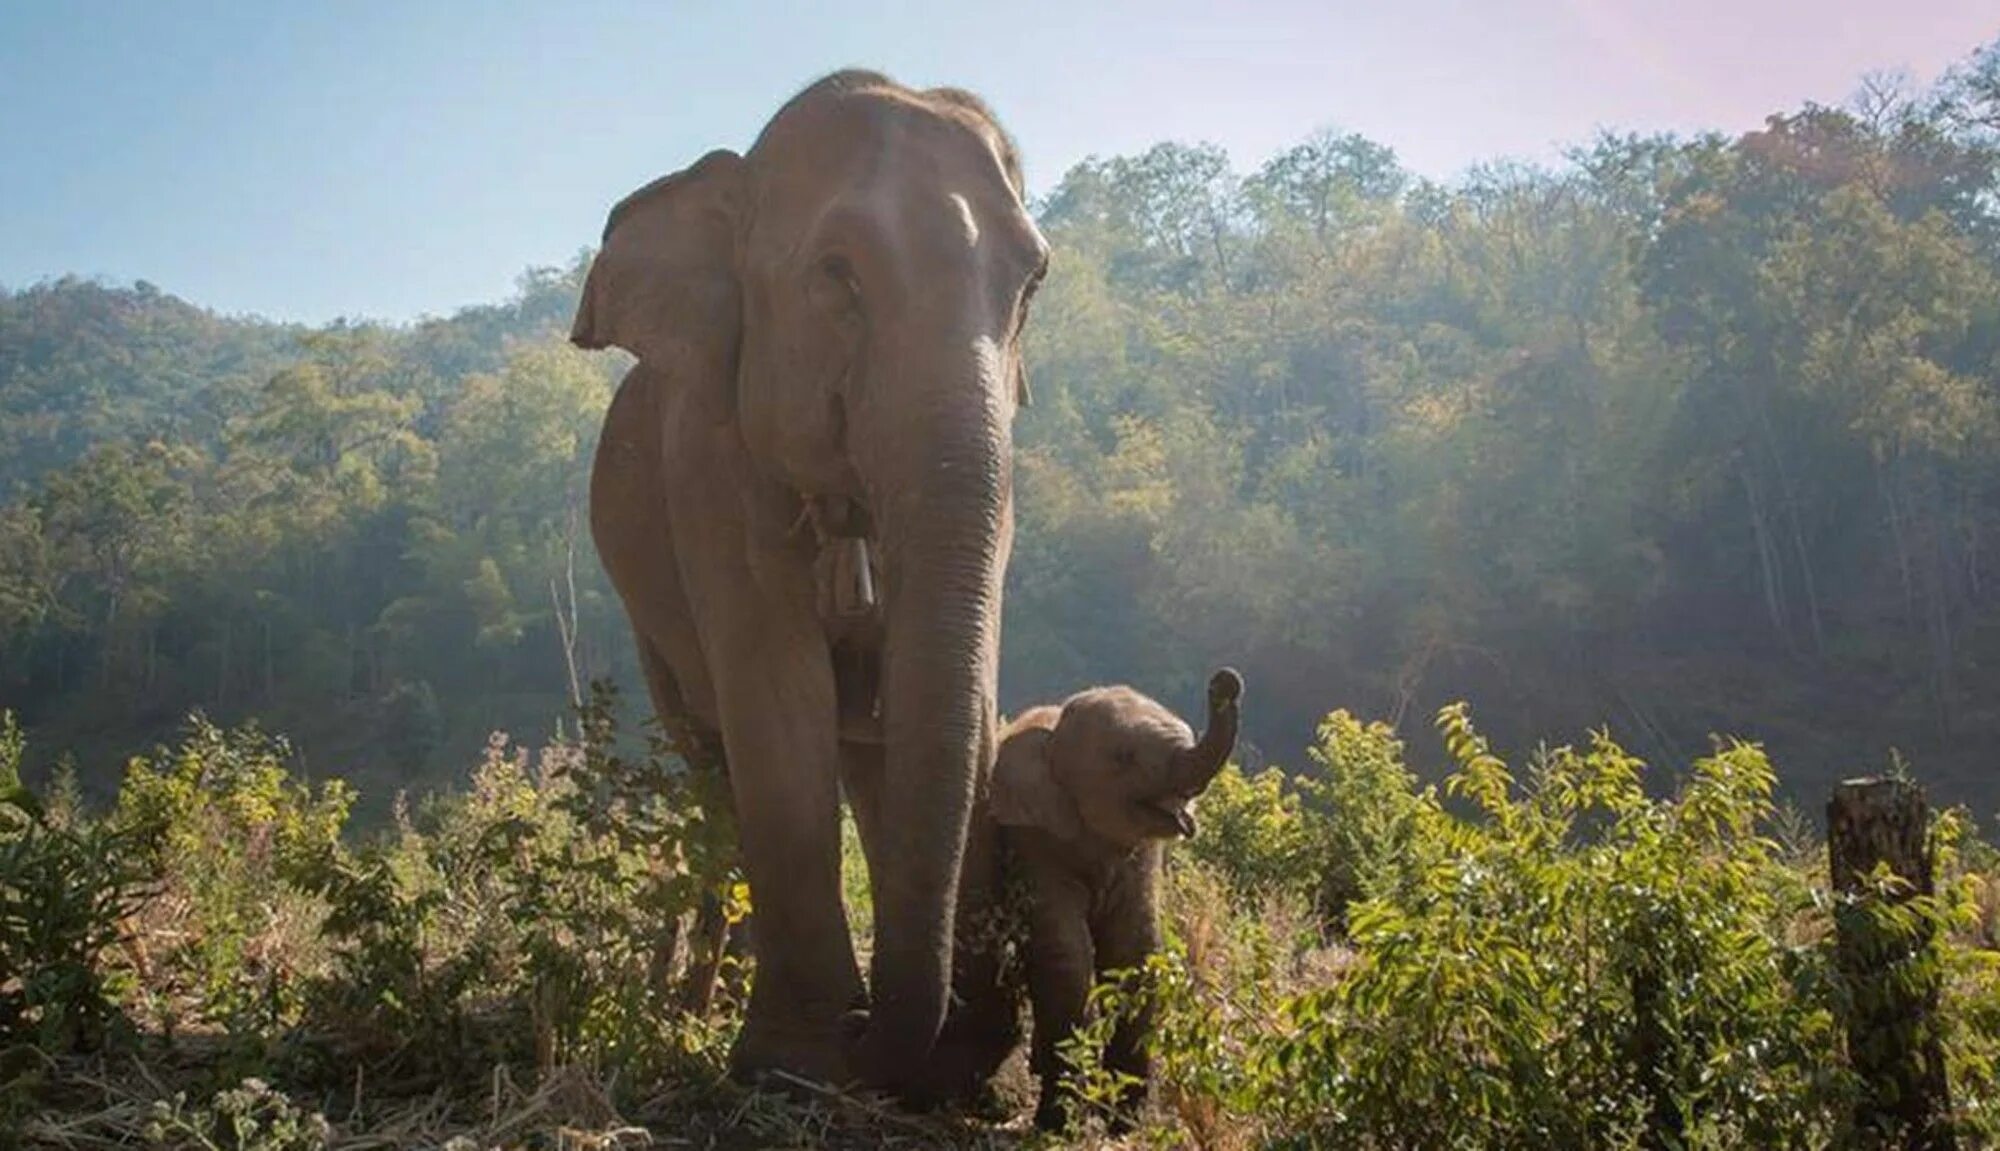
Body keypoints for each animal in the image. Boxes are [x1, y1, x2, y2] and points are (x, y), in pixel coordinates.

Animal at [572, 71, 1048, 1095]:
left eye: (1032, 279)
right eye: (838, 273)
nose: (878, 1033)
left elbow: (949, 691)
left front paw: (956, 1072)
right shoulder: (710, 469)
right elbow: (778, 696)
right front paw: (798, 1059)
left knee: (863, 749)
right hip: (644, 617)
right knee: (713, 761)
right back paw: (699, 1003)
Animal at [992, 671, 1240, 1127]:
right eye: (1123, 758)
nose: (1225, 682)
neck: (1054, 730)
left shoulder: (1140, 855)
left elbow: (1134, 951)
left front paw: (1127, 1120)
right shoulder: (1033, 839)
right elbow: (1067, 954)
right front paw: (1060, 1121)